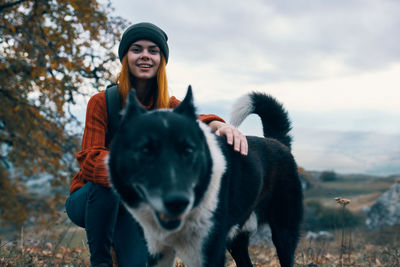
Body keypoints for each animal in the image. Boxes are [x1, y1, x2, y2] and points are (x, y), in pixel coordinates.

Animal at [108, 87, 302, 266]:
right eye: (145, 150)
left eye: (188, 150)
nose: (176, 200)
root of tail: (278, 142)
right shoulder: (157, 250)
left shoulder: (208, 252)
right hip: (236, 240)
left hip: (283, 232)